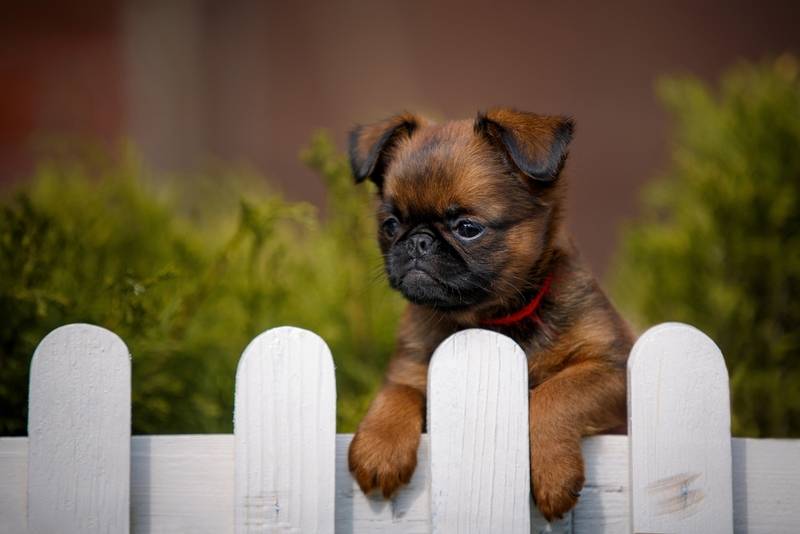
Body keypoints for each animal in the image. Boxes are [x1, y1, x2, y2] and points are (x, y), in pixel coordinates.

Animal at [346, 109, 636, 524]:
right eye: (390, 225)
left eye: (468, 228)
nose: (418, 242)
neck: (493, 321)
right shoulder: (412, 368)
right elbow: (397, 391)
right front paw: (379, 446)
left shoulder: (612, 366)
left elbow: (555, 394)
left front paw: (554, 474)